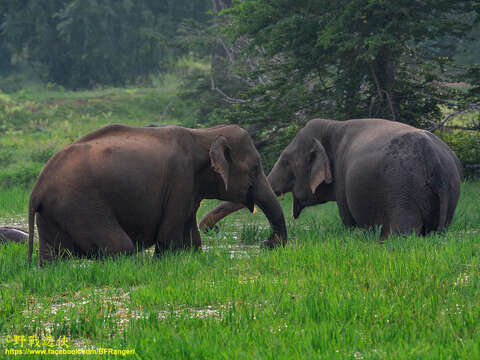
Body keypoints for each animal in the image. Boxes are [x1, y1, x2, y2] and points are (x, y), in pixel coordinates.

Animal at [28, 122, 286, 266]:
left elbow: (192, 240)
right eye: (254, 169)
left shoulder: (190, 187)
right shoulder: (180, 180)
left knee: (53, 255)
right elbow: (168, 237)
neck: (204, 135)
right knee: (121, 247)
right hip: (79, 205)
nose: (266, 244)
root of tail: (36, 189)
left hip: (54, 212)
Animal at [199, 116, 462, 238]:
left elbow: (348, 220)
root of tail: (435, 161)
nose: (214, 230)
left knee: (403, 232)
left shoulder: (344, 182)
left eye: (285, 162)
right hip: (449, 194)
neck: (332, 126)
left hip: (402, 191)